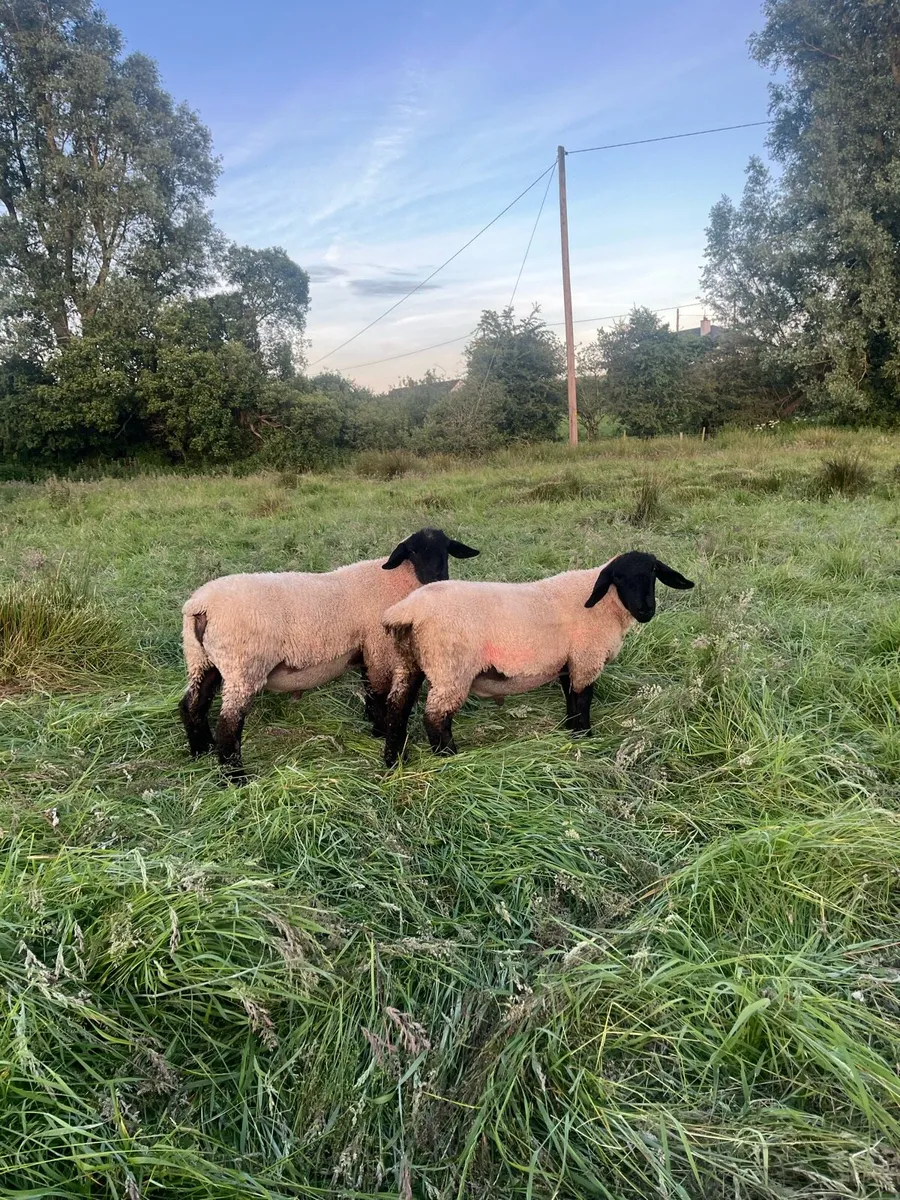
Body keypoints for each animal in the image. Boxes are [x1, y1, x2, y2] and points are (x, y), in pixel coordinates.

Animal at [179, 528, 479, 780]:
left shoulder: (367, 649)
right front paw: (381, 729)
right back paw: (235, 777)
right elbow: (379, 693)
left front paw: (373, 725)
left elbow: (369, 689)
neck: (397, 580)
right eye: (413, 552)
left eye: (446, 550)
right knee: (229, 724)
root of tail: (200, 605)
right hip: (243, 666)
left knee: (192, 704)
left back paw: (201, 751)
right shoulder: (378, 649)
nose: (438, 579)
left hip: (202, 660)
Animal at [380, 550, 693, 765]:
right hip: (450, 668)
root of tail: (407, 610)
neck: (605, 605)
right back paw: (449, 757)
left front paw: (571, 732)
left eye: (653, 572)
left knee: (397, 707)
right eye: (618, 577)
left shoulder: (570, 663)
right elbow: (583, 701)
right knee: (435, 718)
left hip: (410, 661)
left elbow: (571, 699)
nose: (646, 610)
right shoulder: (586, 659)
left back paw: (395, 759)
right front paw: (585, 737)